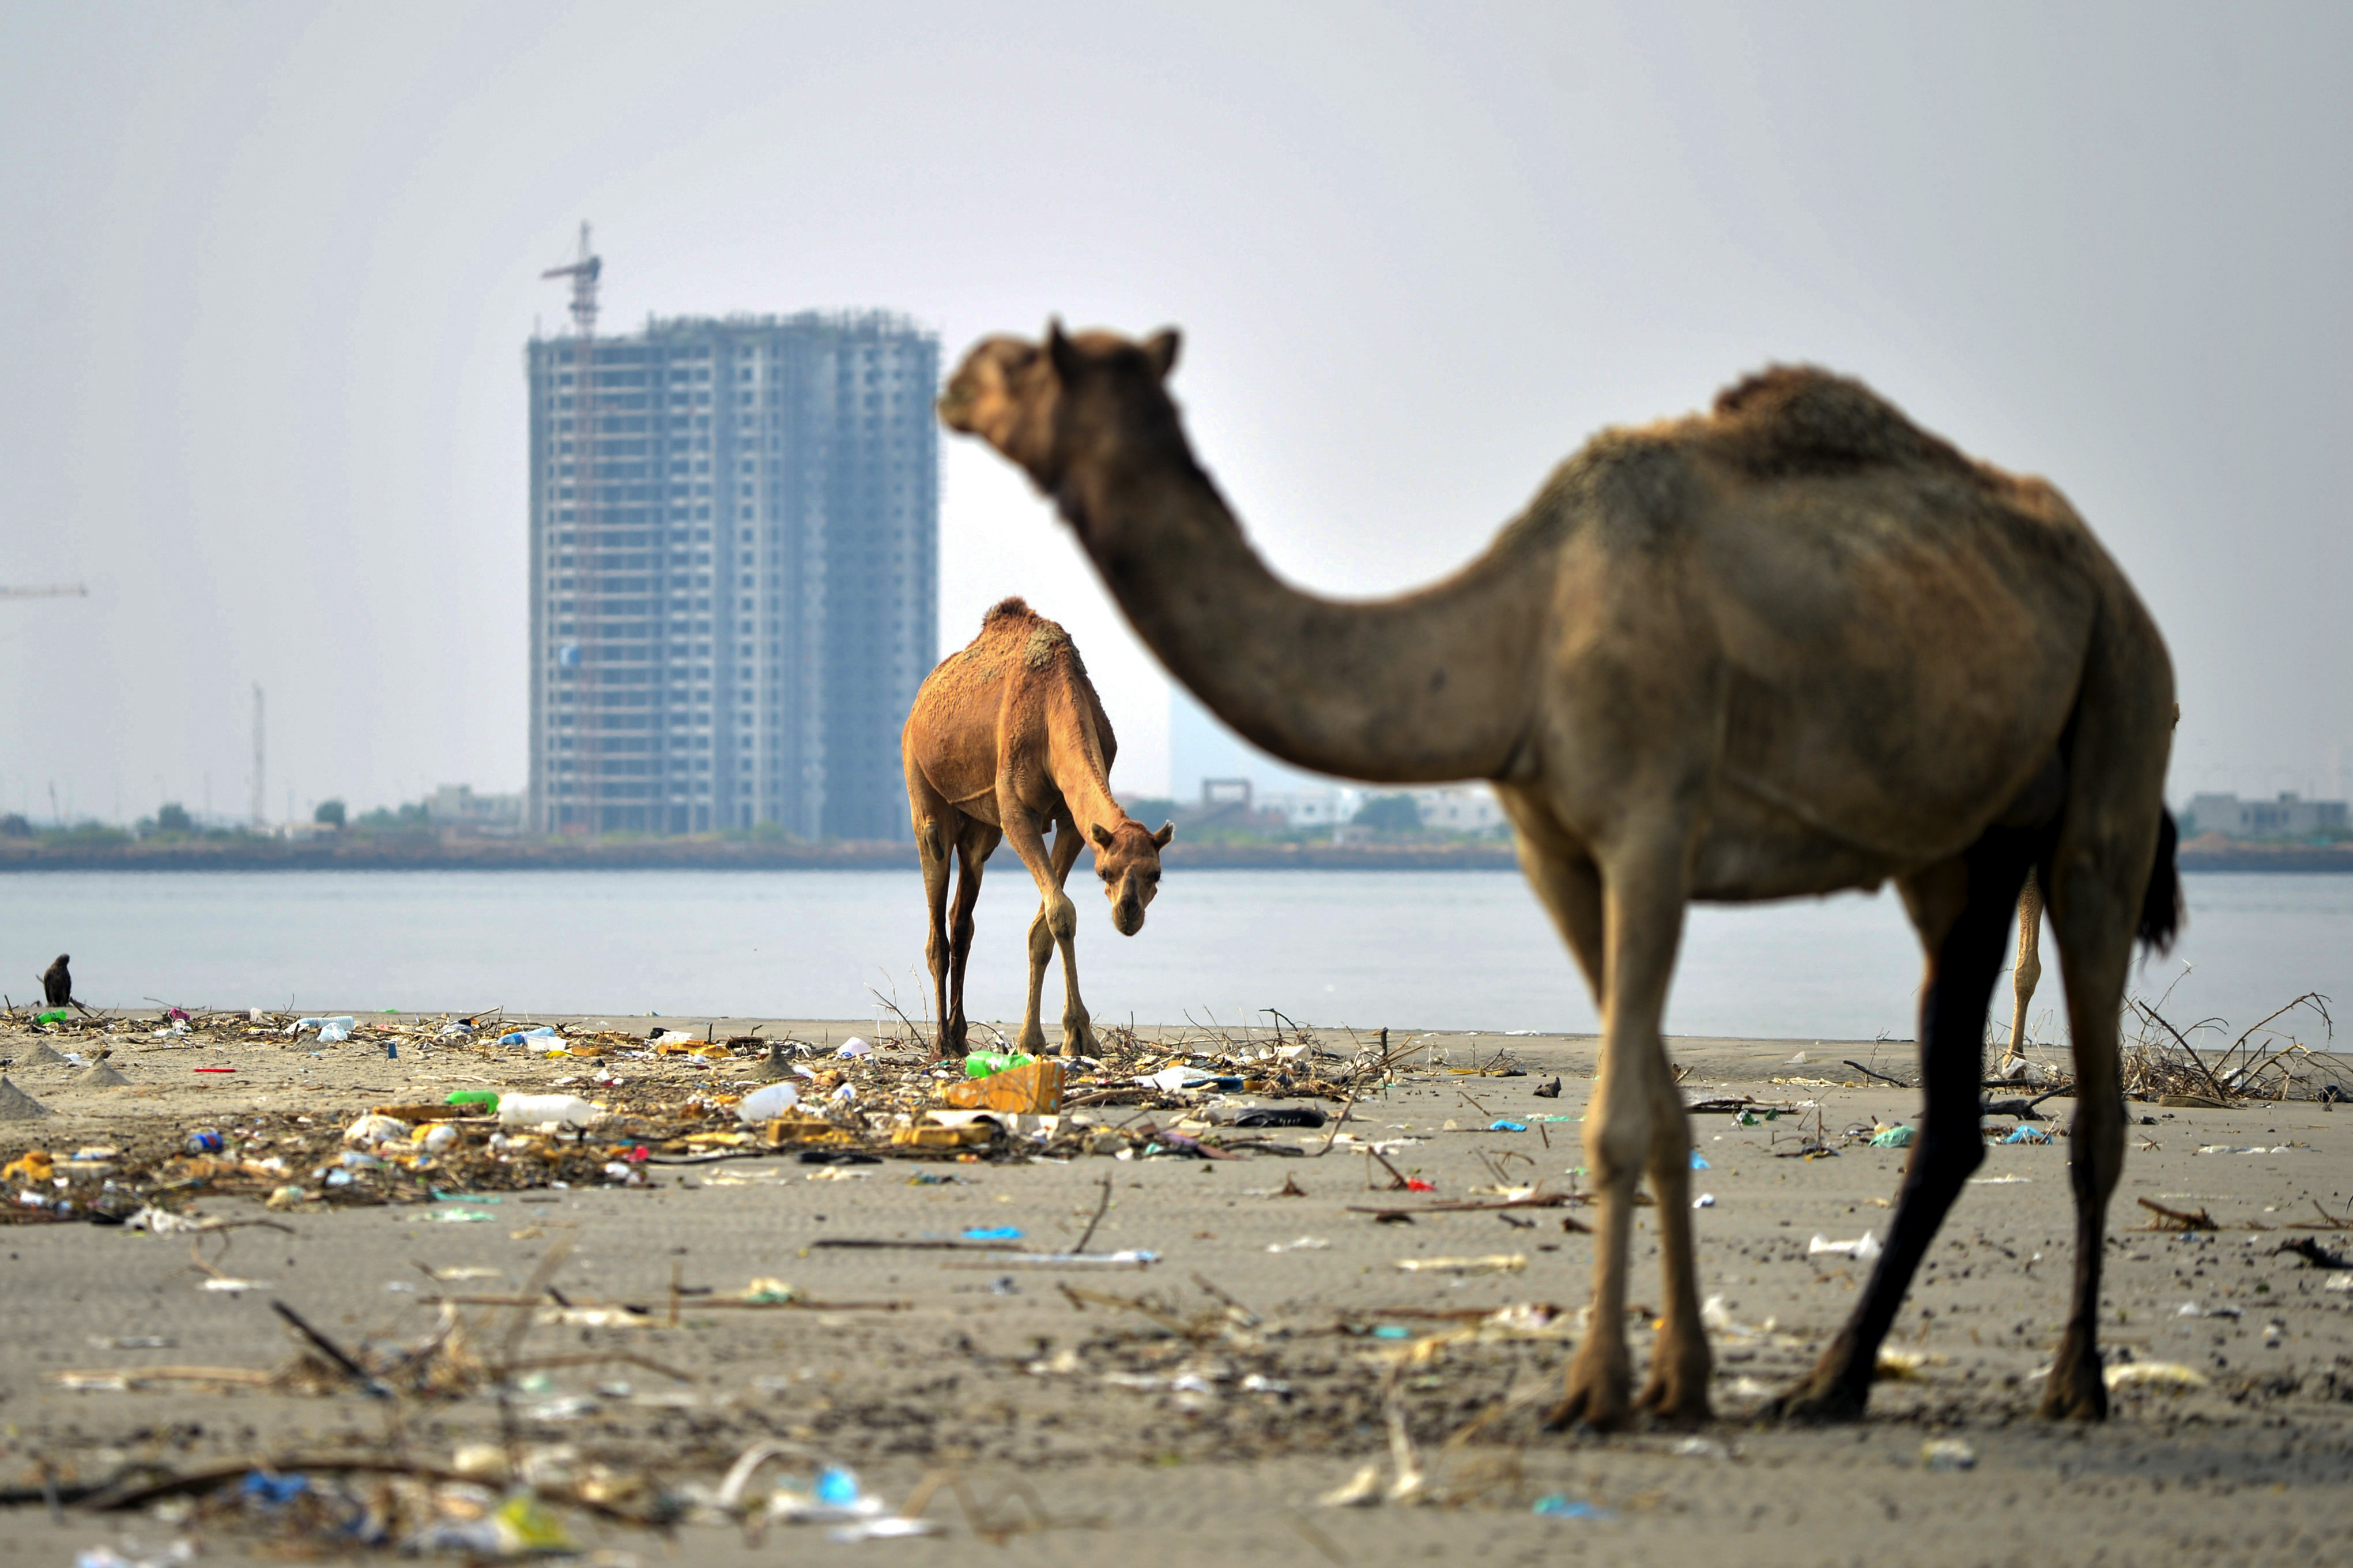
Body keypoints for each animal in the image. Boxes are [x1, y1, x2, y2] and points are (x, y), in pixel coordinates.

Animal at [902, 597, 1173, 1059]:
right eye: (1105, 872)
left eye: (1156, 873)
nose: (1128, 913)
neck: (1054, 706)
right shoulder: (1017, 812)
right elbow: (1060, 911)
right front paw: (1069, 1035)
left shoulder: (1071, 822)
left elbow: (1043, 925)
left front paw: (1055, 1037)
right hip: (922, 787)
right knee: (936, 907)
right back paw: (941, 1042)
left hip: (981, 829)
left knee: (962, 919)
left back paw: (960, 1035)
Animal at [940, 324, 2180, 1429]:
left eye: (1027, 359)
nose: (953, 380)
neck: (1518, 633)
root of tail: (2112, 580)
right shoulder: (1555, 849)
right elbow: (1665, 1109)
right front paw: (1678, 1379)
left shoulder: (1651, 826)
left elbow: (1617, 1118)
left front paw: (1594, 1389)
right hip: (1957, 842)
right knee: (1955, 1101)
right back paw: (1829, 1382)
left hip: (2119, 716)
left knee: (2094, 1060)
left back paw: (2075, 1382)